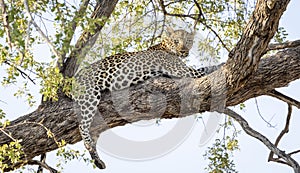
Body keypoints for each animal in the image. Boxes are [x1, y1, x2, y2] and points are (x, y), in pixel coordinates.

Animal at [72, 27, 223, 169]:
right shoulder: (183, 70)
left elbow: (205, 68)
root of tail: (72, 80)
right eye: (176, 41)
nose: (183, 51)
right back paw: (90, 146)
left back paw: (98, 160)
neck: (166, 46)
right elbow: (205, 69)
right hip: (90, 95)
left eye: (189, 41)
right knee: (82, 126)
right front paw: (222, 64)